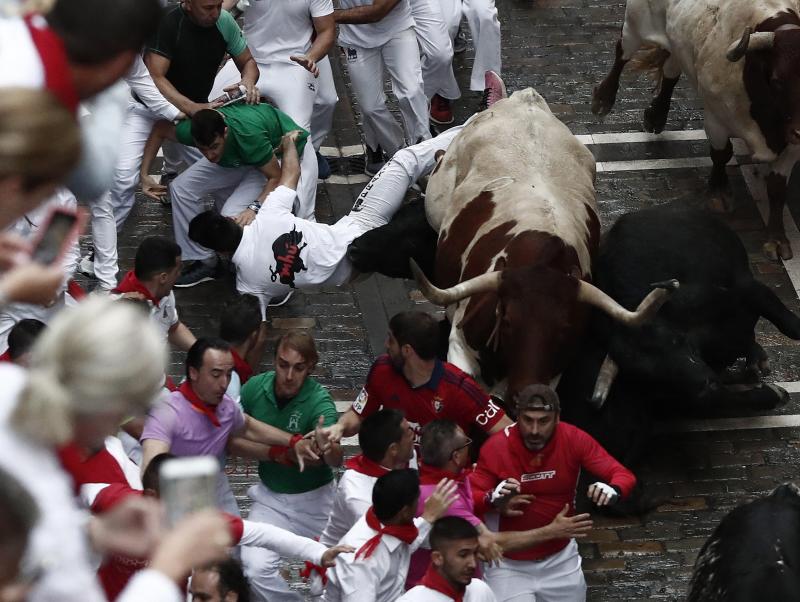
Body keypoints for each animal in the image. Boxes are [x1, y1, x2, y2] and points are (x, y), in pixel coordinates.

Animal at [406, 89, 676, 408]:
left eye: (564, 329)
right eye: (508, 322)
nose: (530, 396)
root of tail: (526, 97)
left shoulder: (553, 372)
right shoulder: (460, 345)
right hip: (436, 200)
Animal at [592, 0, 800, 258]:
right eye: (777, 80)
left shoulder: (792, 144)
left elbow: (777, 187)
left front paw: (777, 239)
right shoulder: (715, 118)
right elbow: (721, 154)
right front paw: (718, 193)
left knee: (671, 68)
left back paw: (657, 116)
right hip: (636, 22)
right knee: (622, 51)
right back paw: (603, 98)